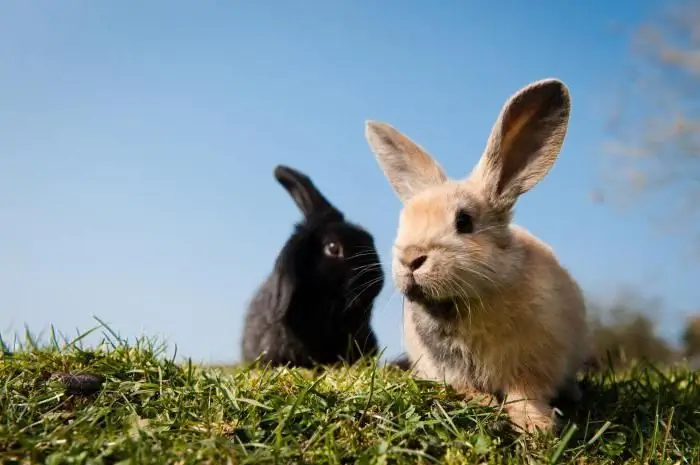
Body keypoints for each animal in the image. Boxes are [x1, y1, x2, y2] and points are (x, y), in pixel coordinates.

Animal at [366, 78, 592, 434]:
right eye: (403, 224)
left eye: (464, 222)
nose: (411, 259)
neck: (466, 303)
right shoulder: (447, 368)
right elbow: (463, 387)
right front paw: (483, 403)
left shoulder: (534, 365)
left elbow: (524, 394)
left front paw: (537, 425)